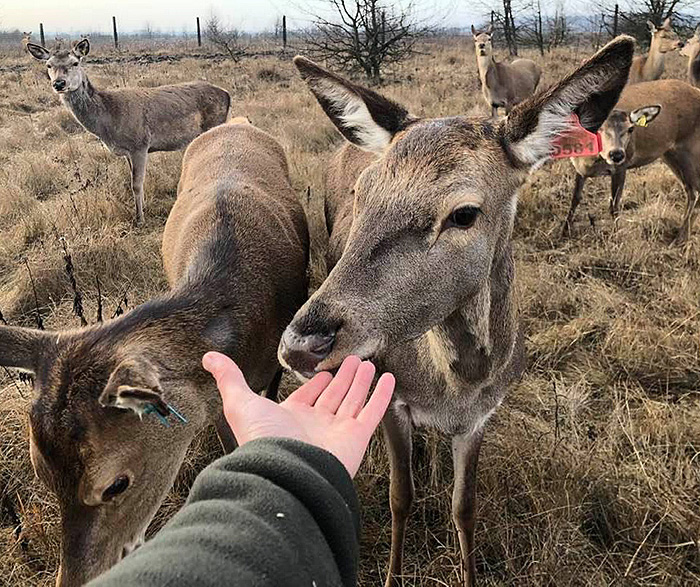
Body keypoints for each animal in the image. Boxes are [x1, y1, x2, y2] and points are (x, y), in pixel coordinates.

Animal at [26, 37, 230, 225]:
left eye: (75, 63)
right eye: (49, 65)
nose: (59, 83)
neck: (109, 121)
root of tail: (227, 94)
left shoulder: (139, 144)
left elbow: (136, 184)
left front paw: (139, 219)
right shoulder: (126, 151)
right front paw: (143, 208)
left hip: (215, 123)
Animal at [278, 38, 636, 587]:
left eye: (464, 213)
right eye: (363, 192)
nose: (302, 343)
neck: (459, 384)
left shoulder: (481, 416)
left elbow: (464, 507)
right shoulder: (391, 396)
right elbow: (400, 498)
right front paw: (393, 573)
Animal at [560, 79, 700, 242]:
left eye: (631, 129)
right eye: (598, 128)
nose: (616, 154)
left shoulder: (622, 167)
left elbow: (614, 205)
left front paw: (616, 237)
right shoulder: (579, 168)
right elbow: (574, 200)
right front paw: (563, 232)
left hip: (690, 150)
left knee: (696, 190)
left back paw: (680, 239)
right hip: (670, 154)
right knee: (690, 190)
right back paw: (680, 235)